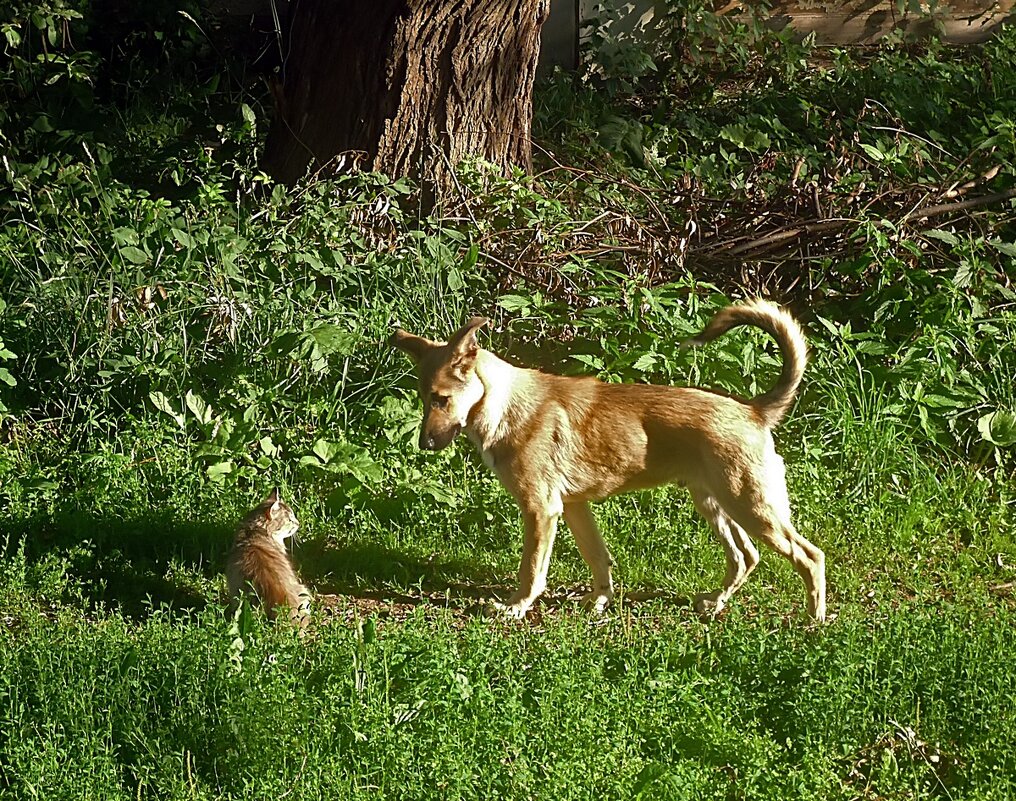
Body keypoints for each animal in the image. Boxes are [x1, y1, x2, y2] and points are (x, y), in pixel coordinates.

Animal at [390, 298, 824, 618]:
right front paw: (599, 600)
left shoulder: (541, 510)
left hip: (752, 506)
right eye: (424, 398)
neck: (503, 403)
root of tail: (754, 411)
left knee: (810, 556)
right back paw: (715, 604)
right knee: (745, 557)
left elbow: (532, 570)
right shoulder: (573, 507)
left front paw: (516, 607)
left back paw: (813, 621)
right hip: (716, 504)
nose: (425, 444)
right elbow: (599, 559)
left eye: (441, 399)